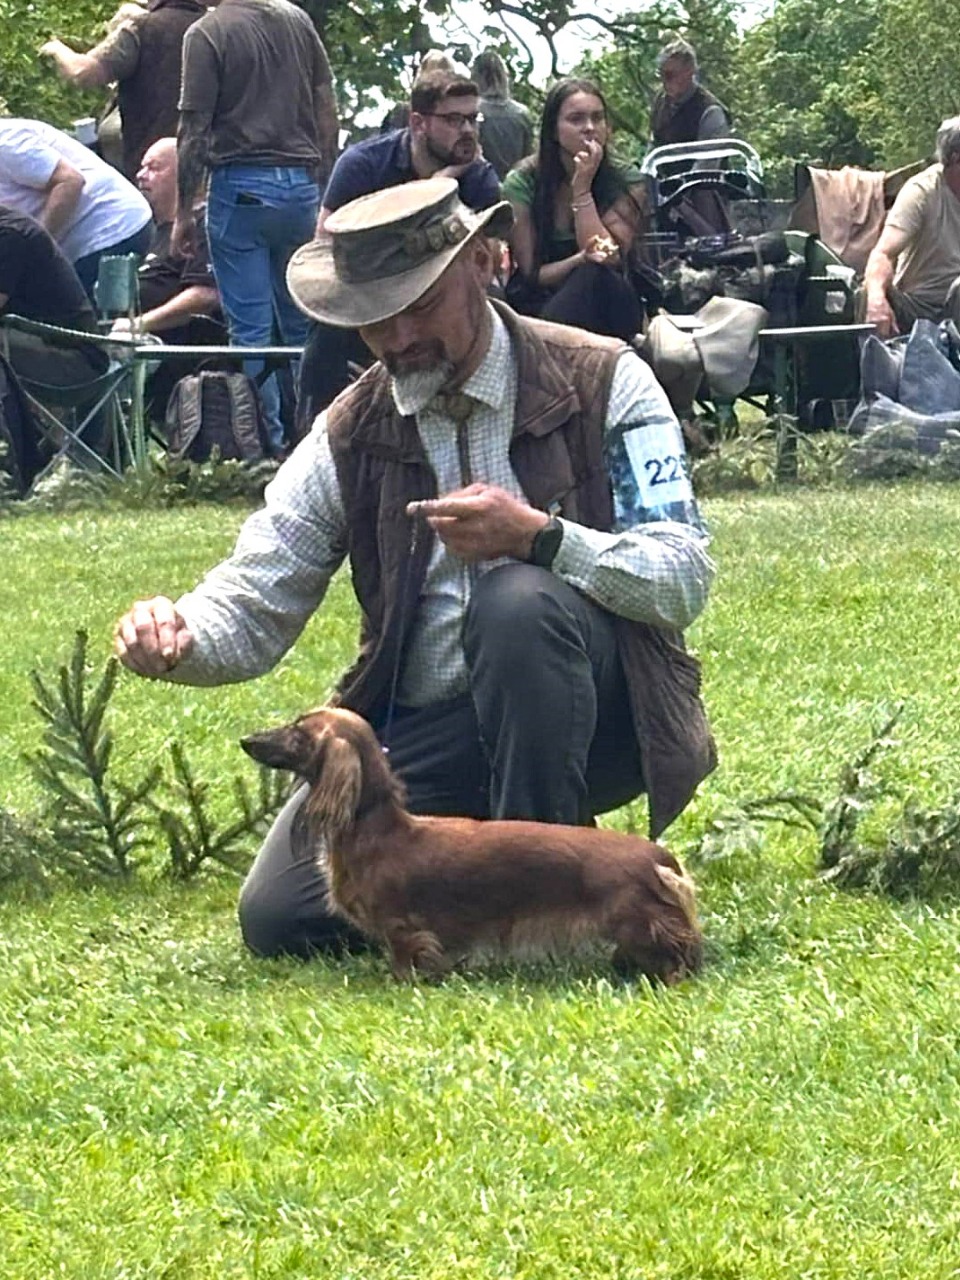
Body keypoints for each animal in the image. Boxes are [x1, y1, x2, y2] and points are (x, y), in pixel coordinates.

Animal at [241, 707, 703, 984]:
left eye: (298, 732)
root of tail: (659, 859)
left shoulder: (402, 925)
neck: (378, 830)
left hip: (637, 920)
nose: (246, 739)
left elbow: (406, 956)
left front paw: (403, 981)